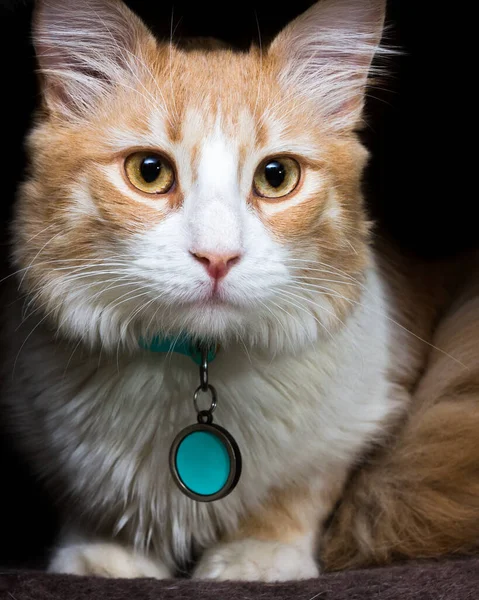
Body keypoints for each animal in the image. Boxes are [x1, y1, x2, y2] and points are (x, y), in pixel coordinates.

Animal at [1, 0, 478, 580]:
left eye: (276, 177)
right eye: (149, 172)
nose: (218, 258)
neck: (197, 366)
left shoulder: (356, 418)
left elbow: (295, 496)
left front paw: (256, 555)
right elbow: (91, 501)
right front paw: (106, 553)